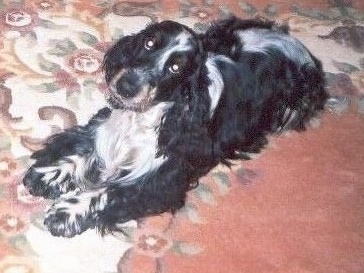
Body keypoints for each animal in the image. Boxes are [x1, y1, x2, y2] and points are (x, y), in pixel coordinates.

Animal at [24, 18, 328, 237]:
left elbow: (108, 192)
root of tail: (294, 42)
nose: (126, 86)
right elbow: (82, 149)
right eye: (149, 43)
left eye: (175, 67)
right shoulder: (108, 127)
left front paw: (66, 212)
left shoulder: (163, 178)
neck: (141, 120)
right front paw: (48, 174)